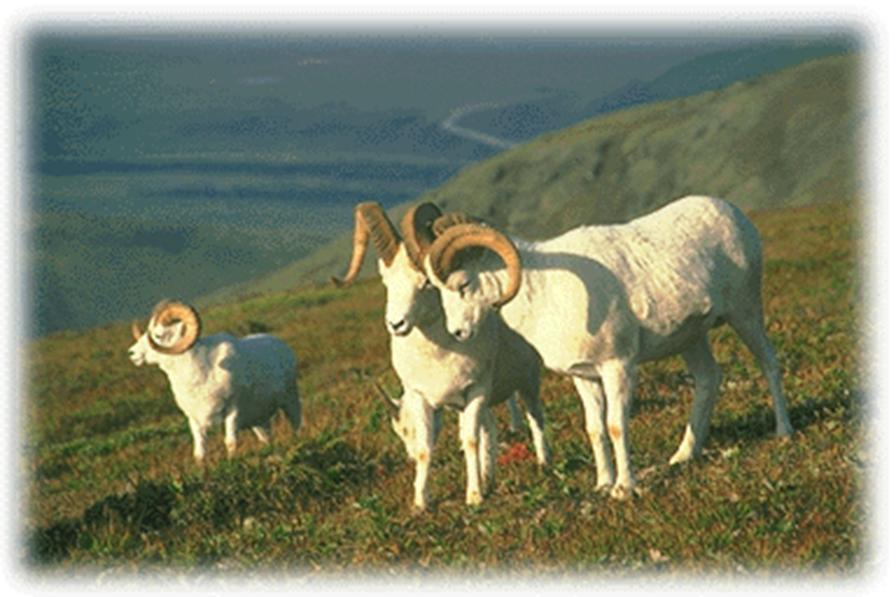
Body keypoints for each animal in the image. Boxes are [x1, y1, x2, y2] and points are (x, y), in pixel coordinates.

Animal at [128, 300, 300, 464]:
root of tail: (282, 346)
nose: (132, 353)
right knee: (266, 438)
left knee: (296, 426)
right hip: (259, 422)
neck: (200, 376)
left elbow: (230, 442)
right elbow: (200, 451)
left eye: (159, 335)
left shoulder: (233, 411)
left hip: (291, 402)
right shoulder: (195, 420)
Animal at [334, 201, 548, 508]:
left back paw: (543, 464)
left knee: (535, 419)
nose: (396, 324)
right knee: (490, 430)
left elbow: (470, 442)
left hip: (528, 383)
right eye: (386, 281)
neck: (439, 356)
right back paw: (489, 477)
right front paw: (421, 502)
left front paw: (474, 497)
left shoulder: (476, 392)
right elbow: (427, 448)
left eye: (427, 283)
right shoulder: (423, 399)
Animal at [424, 196, 796, 498]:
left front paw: (624, 488)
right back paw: (683, 455)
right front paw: (603, 483)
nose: (458, 332)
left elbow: (617, 425)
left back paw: (783, 432)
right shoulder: (585, 376)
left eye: (464, 283)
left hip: (745, 313)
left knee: (769, 363)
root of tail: (733, 214)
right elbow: (596, 429)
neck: (547, 294)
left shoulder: (618, 366)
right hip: (690, 338)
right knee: (708, 379)